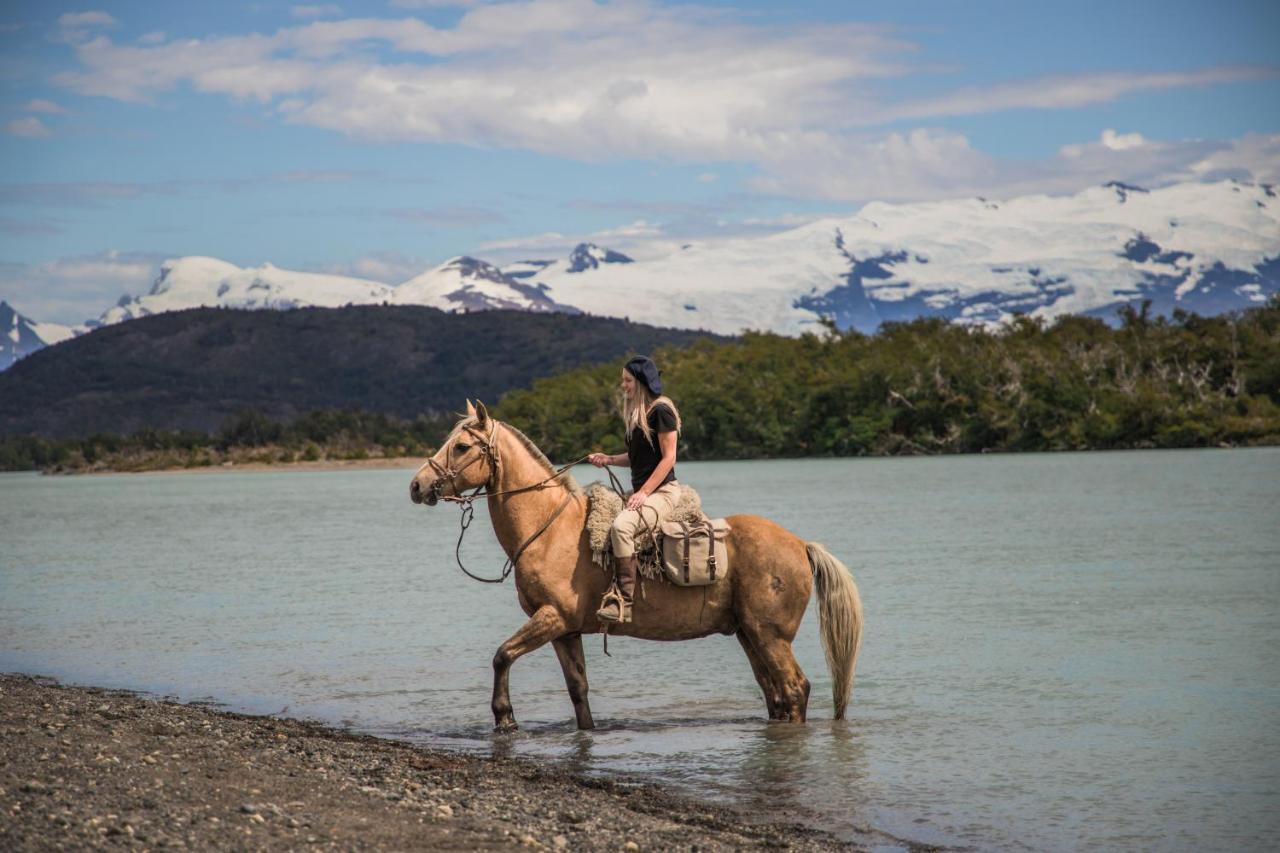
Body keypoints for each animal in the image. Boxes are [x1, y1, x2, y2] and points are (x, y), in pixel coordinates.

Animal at [409, 402, 865, 727]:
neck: (549, 528)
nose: (416, 485)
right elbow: (578, 689)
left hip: (770, 637)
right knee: (776, 696)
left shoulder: (551, 618)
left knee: (794, 689)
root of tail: (800, 545)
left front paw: (504, 717)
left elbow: (502, 655)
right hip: (749, 634)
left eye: (462, 446)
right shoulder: (565, 630)